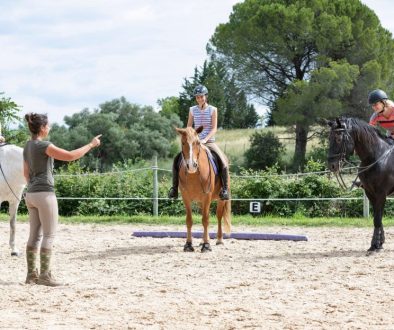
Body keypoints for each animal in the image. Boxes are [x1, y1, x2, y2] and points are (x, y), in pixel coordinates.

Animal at [326, 117, 394, 254]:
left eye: (338, 139)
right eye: (329, 138)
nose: (332, 166)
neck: (375, 157)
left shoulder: (381, 194)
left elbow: (377, 219)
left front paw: (375, 245)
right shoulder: (370, 193)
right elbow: (377, 218)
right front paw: (378, 244)